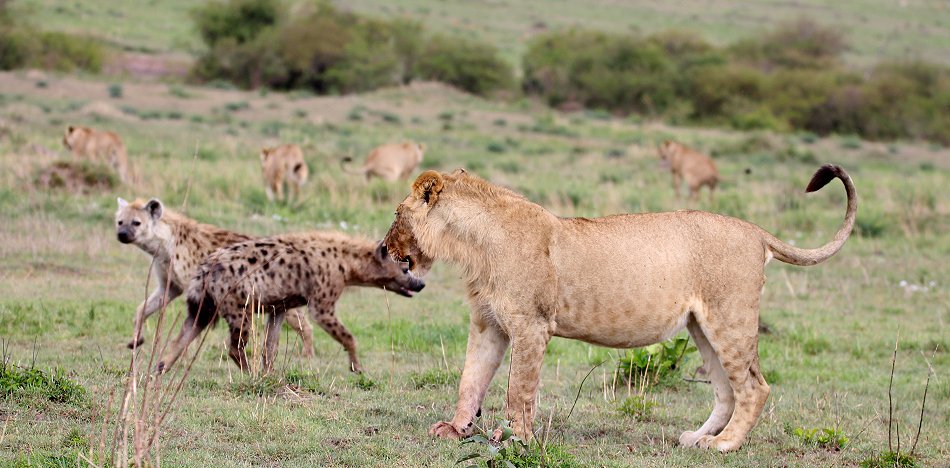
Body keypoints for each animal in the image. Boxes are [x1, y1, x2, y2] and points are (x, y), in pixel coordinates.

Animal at [115, 197, 314, 354]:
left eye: (136, 223)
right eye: (119, 222)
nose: (122, 234)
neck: (165, 246)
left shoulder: (196, 286)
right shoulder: (170, 285)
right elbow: (143, 308)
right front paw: (135, 340)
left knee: (304, 323)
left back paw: (307, 357)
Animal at [158, 232, 426, 374]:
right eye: (405, 268)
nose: (421, 284)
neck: (346, 263)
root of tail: (205, 267)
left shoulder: (279, 307)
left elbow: (271, 346)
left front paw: (269, 373)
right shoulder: (321, 306)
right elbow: (348, 336)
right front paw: (356, 368)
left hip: (203, 305)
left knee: (182, 336)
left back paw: (160, 369)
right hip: (238, 308)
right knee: (235, 347)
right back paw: (249, 373)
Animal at [384, 163, 860, 452]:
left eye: (394, 215)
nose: (384, 248)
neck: (471, 246)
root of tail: (757, 230)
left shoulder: (531, 326)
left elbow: (518, 391)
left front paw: (517, 440)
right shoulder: (489, 324)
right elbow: (471, 380)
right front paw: (455, 429)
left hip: (731, 319)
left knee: (755, 388)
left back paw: (724, 445)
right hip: (702, 327)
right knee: (726, 391)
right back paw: (696, 439)